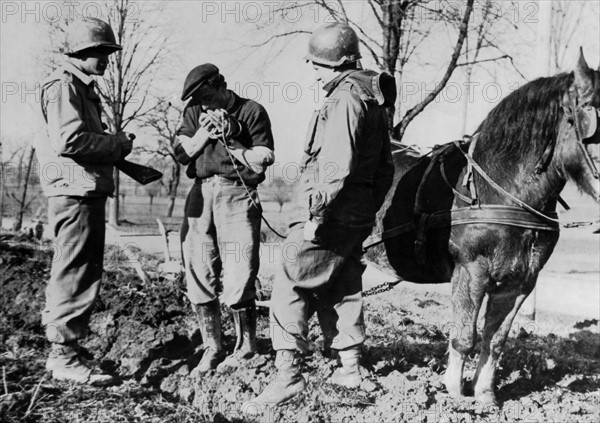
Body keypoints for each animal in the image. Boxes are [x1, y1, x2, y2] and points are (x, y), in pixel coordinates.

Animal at [366, 51, 600, 406]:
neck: (503, 191)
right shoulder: (470, 272)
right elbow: (465, 336)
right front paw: (454, 394)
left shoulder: (520, 282)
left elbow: (496, 340)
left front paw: (486, 395)